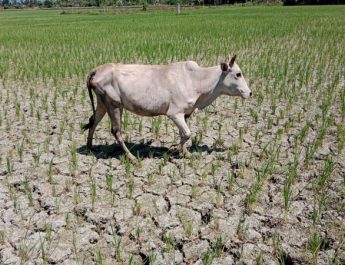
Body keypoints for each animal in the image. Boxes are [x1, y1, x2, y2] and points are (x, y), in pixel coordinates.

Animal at [82, 55, 250, 161]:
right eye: (238, 74)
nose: (250, 93)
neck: (196, 80)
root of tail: (97, 69)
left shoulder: (185, 114)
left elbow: (183, 134)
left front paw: (185, 153)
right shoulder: (174, 113)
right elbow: (187, 134)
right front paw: (176, 150)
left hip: (102, 103)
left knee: (93, 122)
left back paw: (90, 147)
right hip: (114, 105)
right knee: (116, 131)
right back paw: (131, 157)